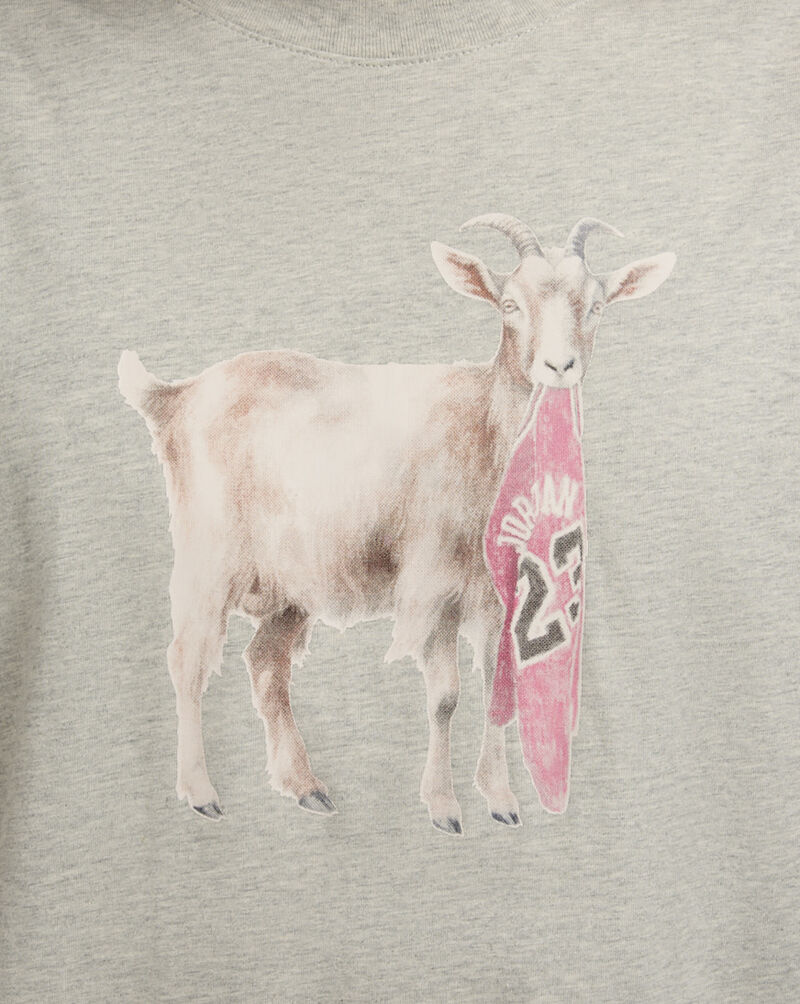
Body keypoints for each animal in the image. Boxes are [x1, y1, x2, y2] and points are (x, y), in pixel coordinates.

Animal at [118, 215, 675, 835]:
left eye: (596, 306)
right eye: (509, 303)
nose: (558, 367)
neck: (484, 427)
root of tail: (175, 397)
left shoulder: (499, 591)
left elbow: (496, 687)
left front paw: (501, 799)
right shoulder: (433, 581)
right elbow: (446, 697)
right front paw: (444, 807)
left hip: (291, 581)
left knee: (265, 666)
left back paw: (306, 787)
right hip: (208, 551)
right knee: (187, 660)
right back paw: (200, 792)